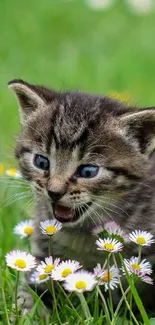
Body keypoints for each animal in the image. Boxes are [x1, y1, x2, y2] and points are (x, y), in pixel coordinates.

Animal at [8, 79, 155, 310]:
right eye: (41, 162)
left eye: (88, 171)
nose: (54, 191)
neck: (82, 234)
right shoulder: (43, 254)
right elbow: (29, 293)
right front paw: (24, 311)